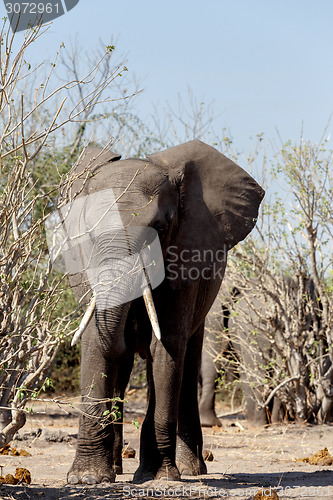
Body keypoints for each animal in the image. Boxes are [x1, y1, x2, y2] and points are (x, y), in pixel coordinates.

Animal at [53, 139, 264, 482]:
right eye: (89, 232)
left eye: (160, 228)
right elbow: (95, 341)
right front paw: (88, 478)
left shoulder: (186, 257)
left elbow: (165, 347)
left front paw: (160, 477)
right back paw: (117, 468)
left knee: (187, 362)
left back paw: (191, 469)